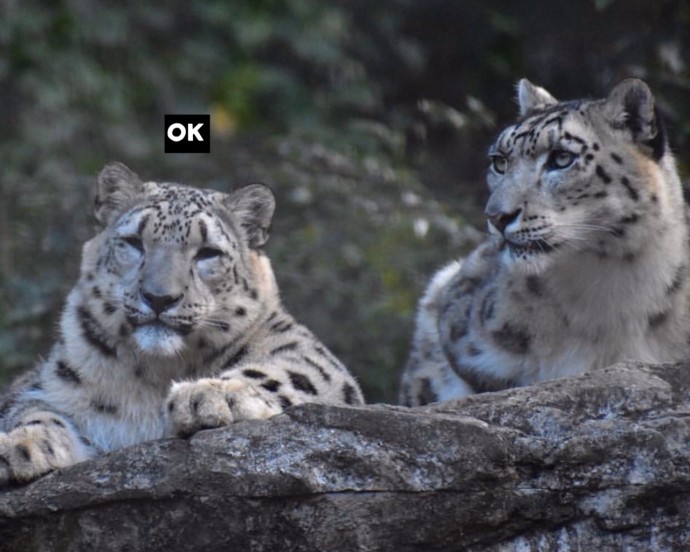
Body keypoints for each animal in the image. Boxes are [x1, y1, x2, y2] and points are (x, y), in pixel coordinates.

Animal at [0, 163, 362, 484]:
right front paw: (18, 446)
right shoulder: (49, 388)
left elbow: (285, 372)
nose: (159, 297)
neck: (153, 374)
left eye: (208, 252)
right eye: (134, 242)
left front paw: (208, 395)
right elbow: (35, 411)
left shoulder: (311, 357)